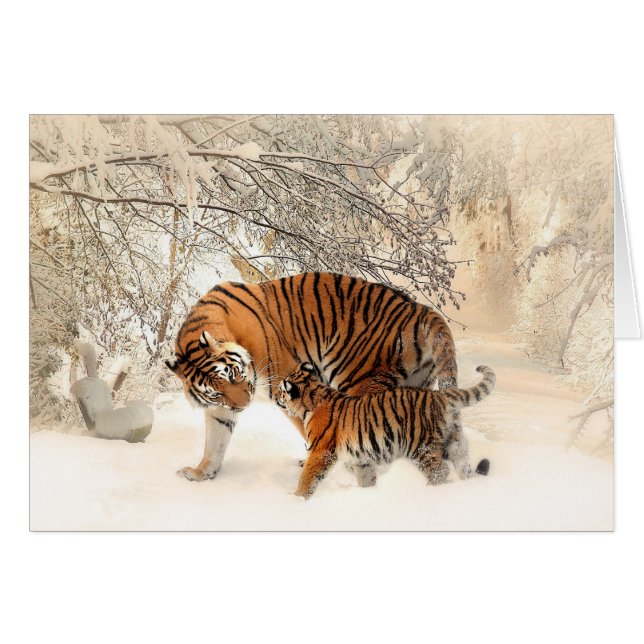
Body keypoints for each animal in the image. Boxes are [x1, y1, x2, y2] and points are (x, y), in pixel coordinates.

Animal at [165, 272, 463, 485]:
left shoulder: (288, 383)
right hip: (414, 387)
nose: (244, 406)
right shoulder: (220, 408)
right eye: (216, 392)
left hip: (359, 380)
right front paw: (201, 473)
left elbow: (312, 429)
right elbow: (215, 441)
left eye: (234, 374)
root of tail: (420, 310)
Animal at [276, 363, 495, 499]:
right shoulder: (361, 457)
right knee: (463, 466)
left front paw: (297, 499)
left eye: (280, 390)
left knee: (440, 470)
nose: (276, 397)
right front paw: (367, 493)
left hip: (420, 446)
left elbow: (308, 477)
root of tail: (440, 396)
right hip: (455, 442)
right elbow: (366, 477)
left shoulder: (321, 451)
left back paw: (428, 491)